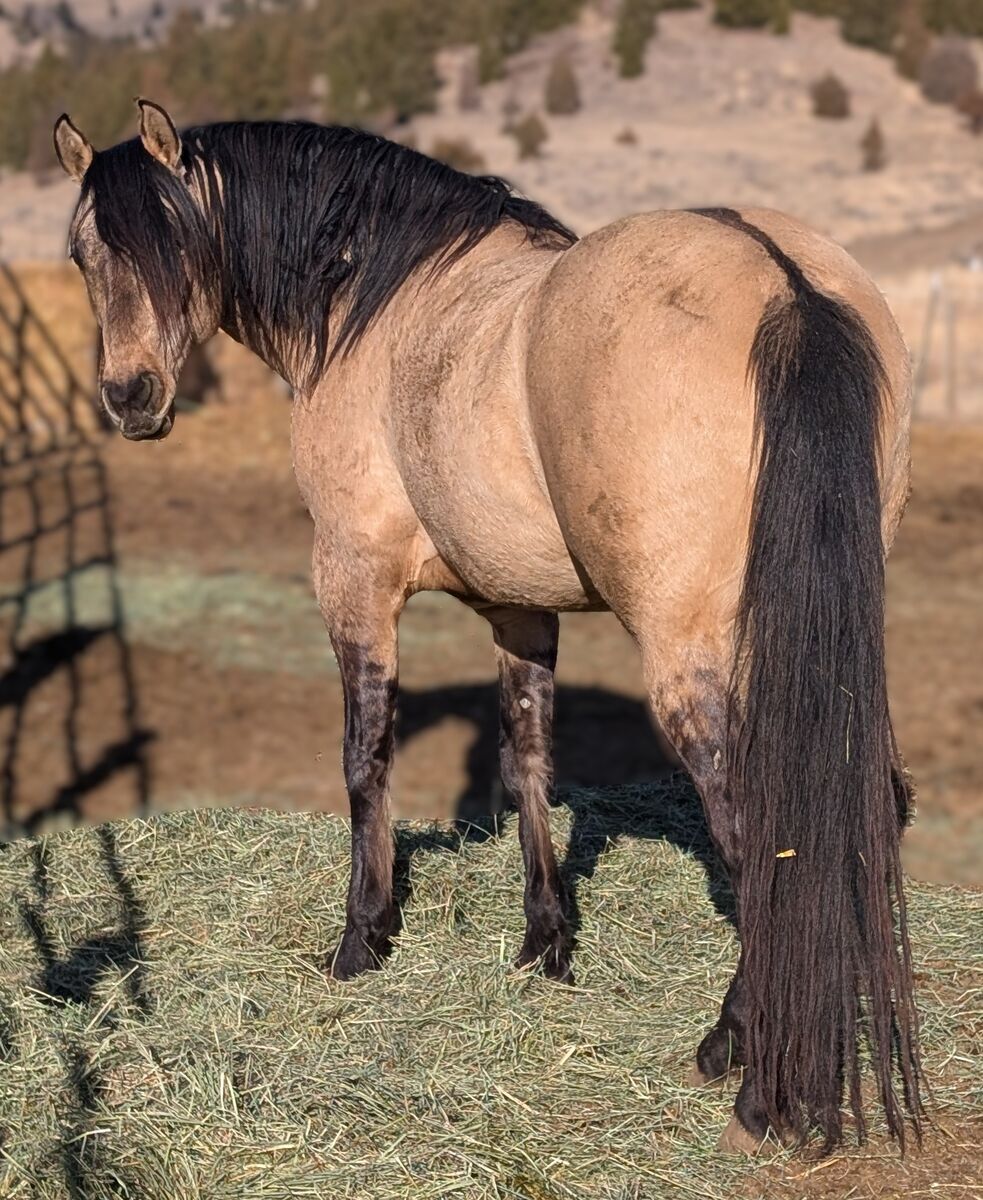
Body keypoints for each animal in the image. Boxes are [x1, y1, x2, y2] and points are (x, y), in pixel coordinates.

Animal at [54, 99, 922, 1155]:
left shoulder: (354, 581)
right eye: (84, 252)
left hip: (695, 660)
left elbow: (365, 758)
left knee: (761, 834)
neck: (374, 305)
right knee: (862, 806)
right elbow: (527, 759)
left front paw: (363, 935)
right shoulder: (519, 607)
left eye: (170, 237)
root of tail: (783, 280)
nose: (129, 397)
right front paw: (545, 942)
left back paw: (752, 1078)